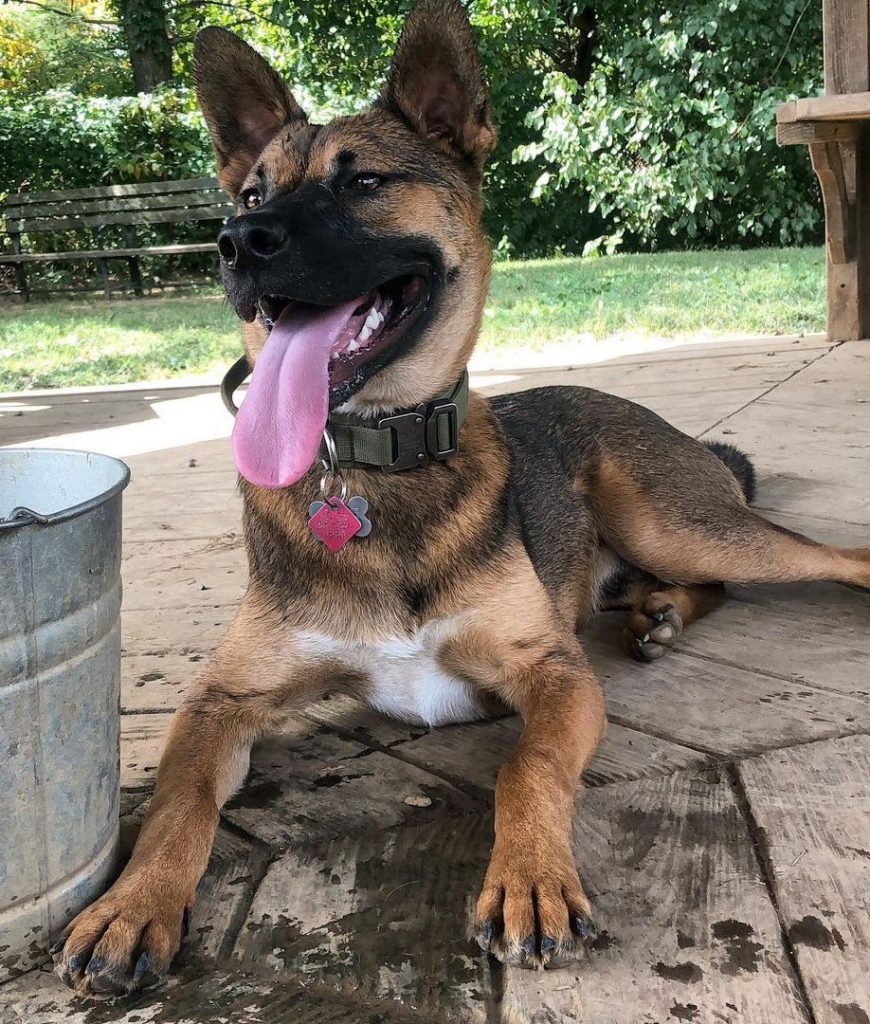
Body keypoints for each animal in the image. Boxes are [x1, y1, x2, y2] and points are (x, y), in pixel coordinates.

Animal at [54, 0, 867, 995]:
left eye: (362, 182)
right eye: (250, 195)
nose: (237, 244)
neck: (375, 469)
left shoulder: (554, 673)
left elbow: (530, 767)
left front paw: (531, 877)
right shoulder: (220, 702)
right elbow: (177, 801)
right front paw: (133, 903)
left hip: (673, 520)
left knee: (827, 556)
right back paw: (658, 610)